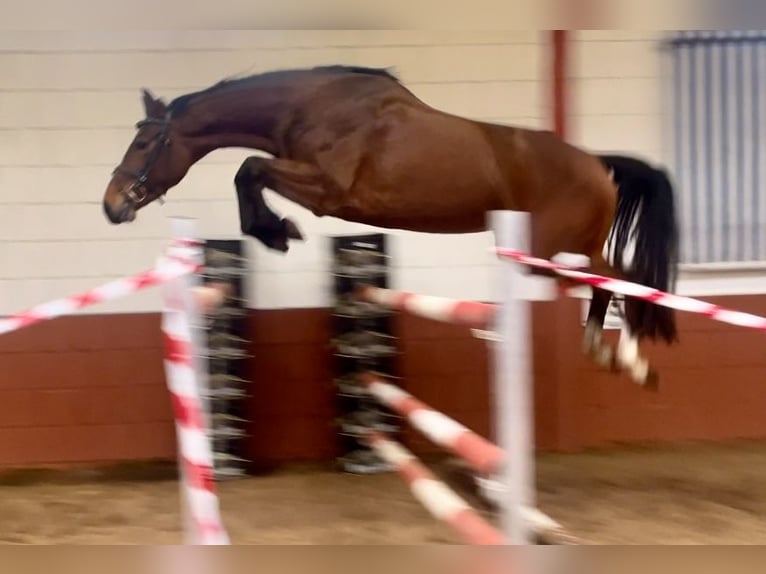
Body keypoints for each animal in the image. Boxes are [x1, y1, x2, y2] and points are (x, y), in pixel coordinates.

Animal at [102, 64, 679, 388]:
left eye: (143, 143)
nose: (112, 205)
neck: (310, 107)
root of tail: (597, 164)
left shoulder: (329, 193)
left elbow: (249, 169)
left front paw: (276, 231)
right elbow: (251, 171)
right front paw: (274, 230)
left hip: (543, 253)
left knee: (616, 276)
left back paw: (630, 360)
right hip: (560, 250)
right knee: (613, 274)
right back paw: (614, 356)